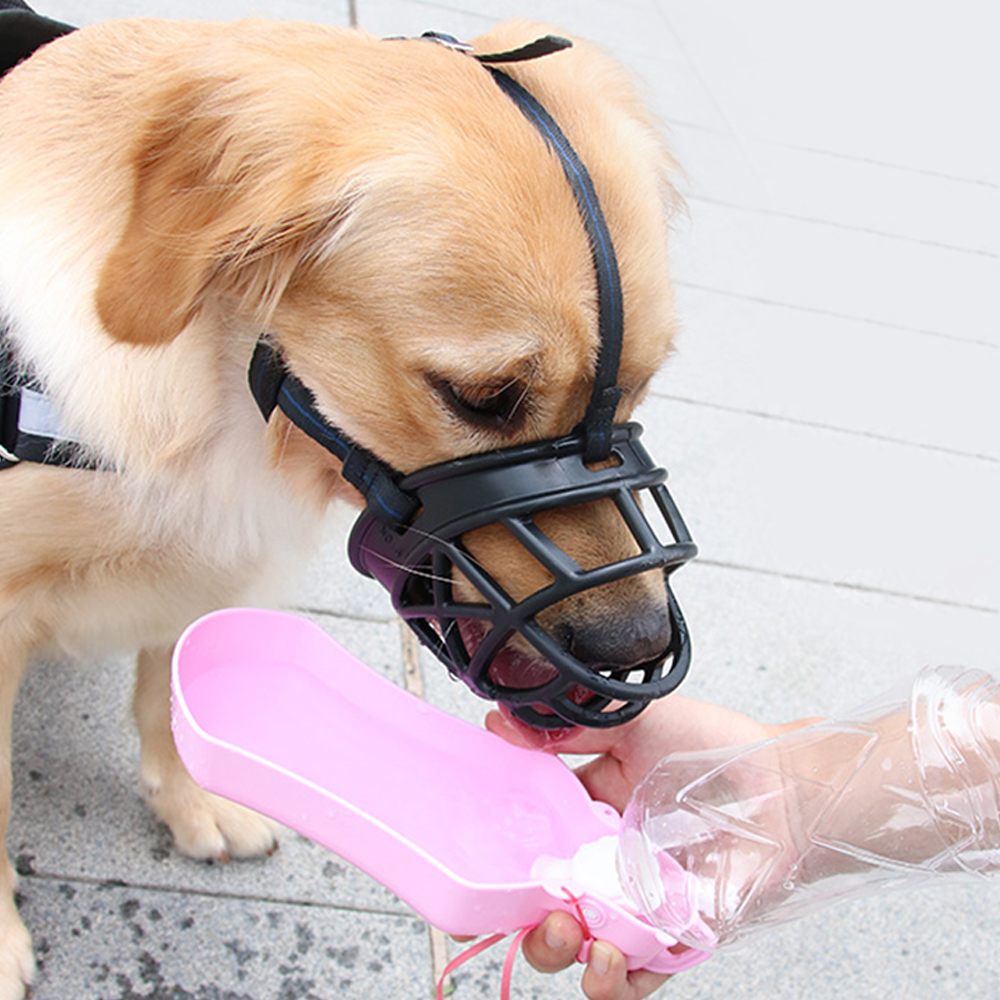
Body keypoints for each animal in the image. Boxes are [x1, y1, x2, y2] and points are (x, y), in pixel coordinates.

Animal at [0, 11, 680, 996]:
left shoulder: (201, 562)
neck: (219, 389)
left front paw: (194, 795)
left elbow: (164, 692)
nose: (638, 646)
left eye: (640, 385)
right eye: (483, 399)